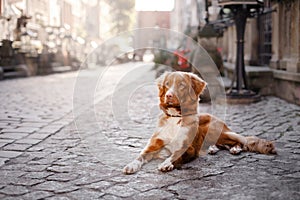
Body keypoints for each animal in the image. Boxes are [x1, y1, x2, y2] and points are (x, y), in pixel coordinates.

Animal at [122, 71, 276, 174]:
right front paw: (131, 165)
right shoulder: (153, 145)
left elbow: (176, 155)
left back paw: (235, 149)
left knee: (238, 141)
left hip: (215, 130)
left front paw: (166, 163)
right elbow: (140, 155)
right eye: (167, 84)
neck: (175, 118)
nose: (169, 95)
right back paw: (213, 149)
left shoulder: (188, 148)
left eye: (181, 85)